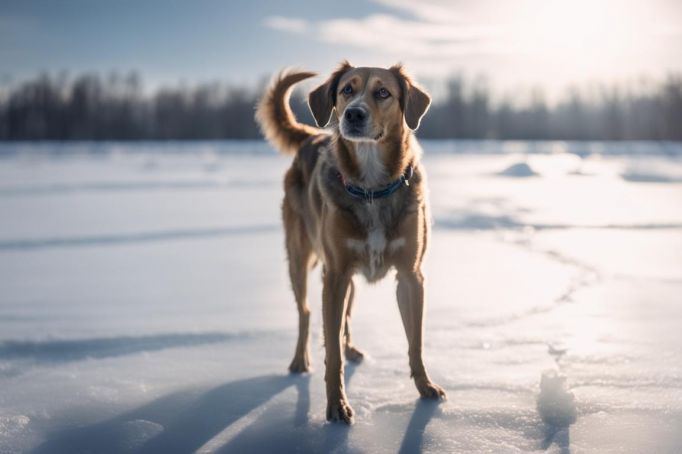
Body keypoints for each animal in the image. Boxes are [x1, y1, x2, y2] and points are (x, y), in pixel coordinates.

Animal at [255, 62, 446, 424]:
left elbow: (415, 340)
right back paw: (300, 360)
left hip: (347, 279)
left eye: (383, 92)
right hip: (300, 259)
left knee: (343, 318)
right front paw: (336, 405)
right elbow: (332, 355)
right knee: (306, 311)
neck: (372, 186)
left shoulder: (411, 276)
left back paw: (351, 347)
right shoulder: (335, 275)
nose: (353, 114)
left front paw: (425, 387)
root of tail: (311, 135)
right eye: (347, 90)